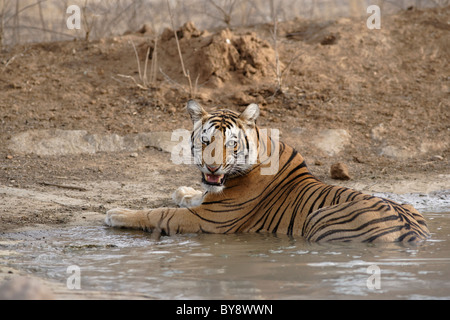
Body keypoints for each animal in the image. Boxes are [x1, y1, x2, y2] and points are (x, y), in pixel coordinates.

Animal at [103, 100, 430, 242]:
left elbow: (157, 213)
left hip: (318, 218)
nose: (212, 166)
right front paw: (183, 190)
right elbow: (194, 195)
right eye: (206, 141)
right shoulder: (210, 201)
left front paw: (115, 213)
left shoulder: (210, 218)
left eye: (231, 144)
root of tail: (413, 234)